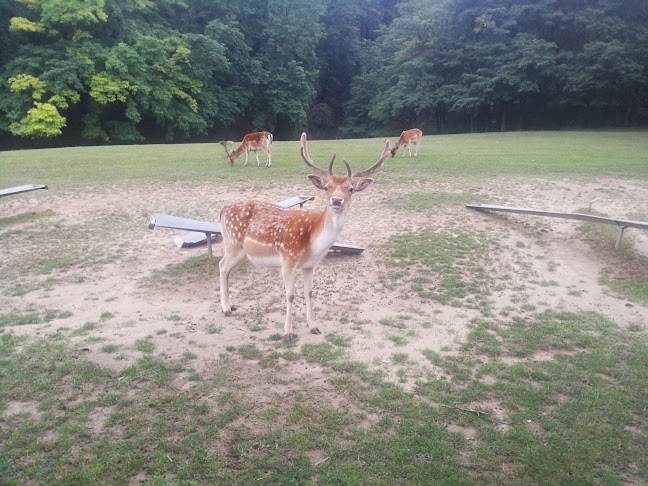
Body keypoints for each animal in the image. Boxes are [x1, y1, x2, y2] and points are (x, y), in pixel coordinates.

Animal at [219, 132, 390, 338]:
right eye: (327, 187)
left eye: (351, 189)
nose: (336, 200)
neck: (313, 244)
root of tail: (223, 210)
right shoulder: (287, 260)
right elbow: (290, 295)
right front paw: (288, 332)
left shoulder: (309, 265)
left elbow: (309, 292)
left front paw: (314, 326)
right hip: (232, 244)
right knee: (222, 266)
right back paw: (226, 308)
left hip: (242, 251)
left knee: (226, 269)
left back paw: (231, 305)